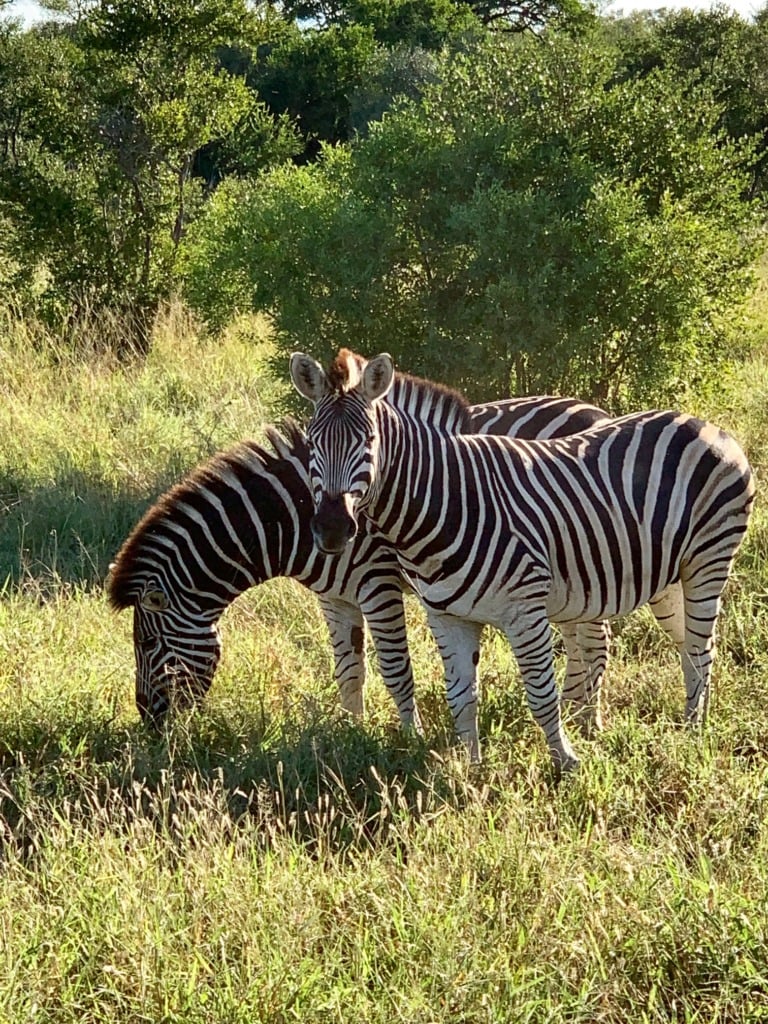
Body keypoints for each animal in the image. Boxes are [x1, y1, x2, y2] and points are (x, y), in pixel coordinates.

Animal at [108, 394, 610, 728]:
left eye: (147, 645)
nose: (149, 726)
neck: (293, 517)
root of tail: (594, 410)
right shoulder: (334, 597)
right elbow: (348, 671)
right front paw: (351, 734)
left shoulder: (378, 581)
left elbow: (395, 669)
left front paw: (408, 738)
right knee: (582, 638)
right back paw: (576, 713)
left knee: (595, 641)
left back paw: (588, 722)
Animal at [290, 348, 754, 771]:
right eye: (311, 444)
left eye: (368, 442)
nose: (332, 528)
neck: (446, 502)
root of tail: (701, 423)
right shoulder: (446, 616)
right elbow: (460, 697)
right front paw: (472, 772)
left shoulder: (523, 611)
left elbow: (540, 694)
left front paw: (567, 764)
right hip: (666, 573)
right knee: (685, 645)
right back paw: (686, 723)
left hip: (709, 560)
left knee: (701, 648)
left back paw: (693, 735)